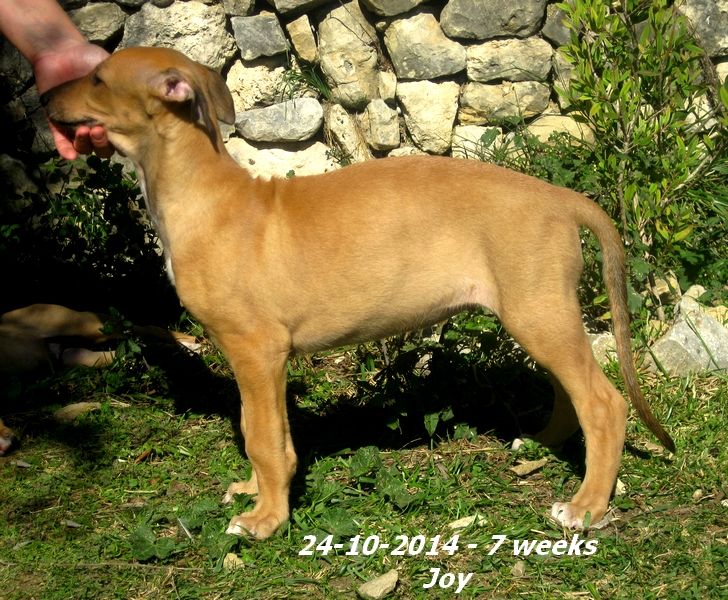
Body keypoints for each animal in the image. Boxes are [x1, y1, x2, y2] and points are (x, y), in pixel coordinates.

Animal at [0, 302, 198, 454]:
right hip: (76, 355)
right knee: (125, 355)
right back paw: (171, 352)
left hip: (87, 326)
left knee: (149, 329)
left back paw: (191, 345)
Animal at [43, 47, 674, 539]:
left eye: (96, 78)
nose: (44, 97)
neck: (202, 193)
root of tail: (562, 198)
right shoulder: (255, 360)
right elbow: (256, 430)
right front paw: (253, 490)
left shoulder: (256, 350)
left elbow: (263, 436)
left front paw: (266, 518)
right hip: (539, 310)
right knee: (573, 390)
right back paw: (543, 443)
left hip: (537, 312)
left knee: (604, 402)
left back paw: (587, 505)